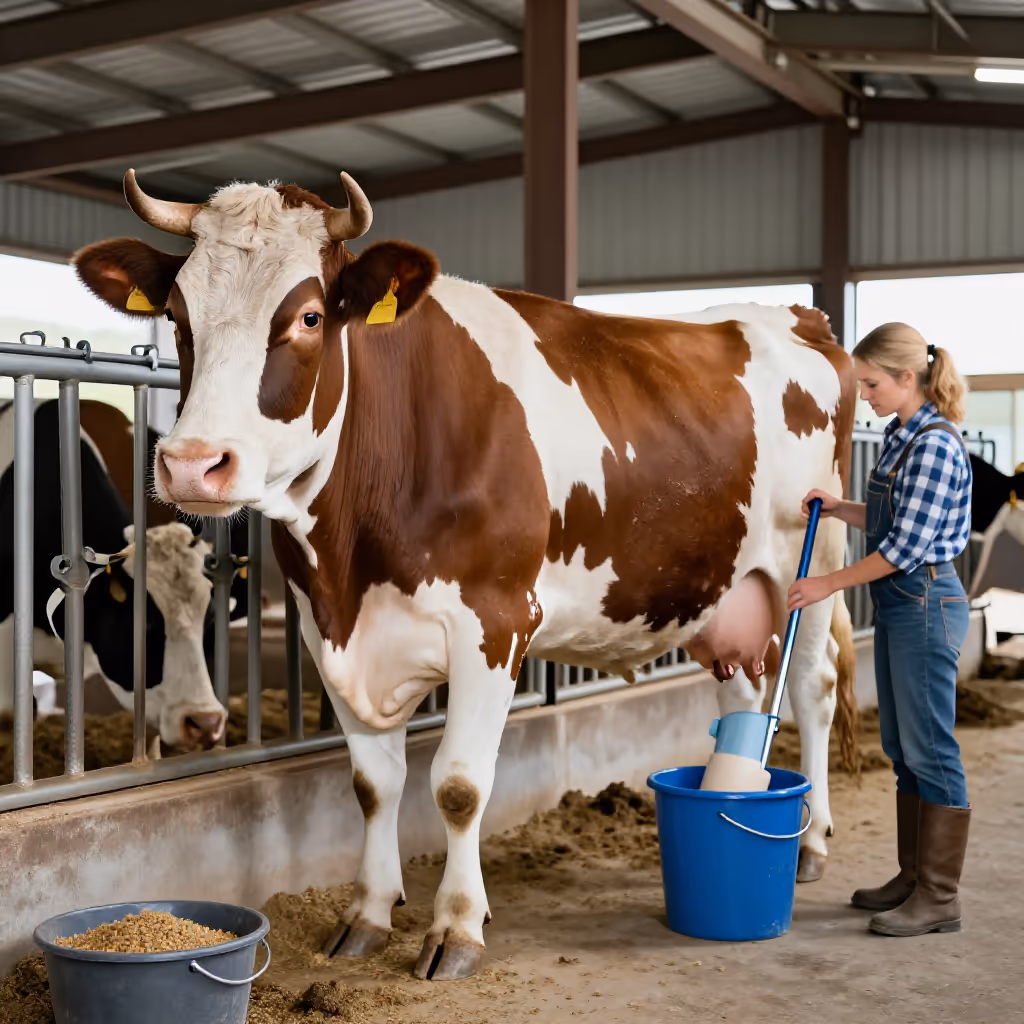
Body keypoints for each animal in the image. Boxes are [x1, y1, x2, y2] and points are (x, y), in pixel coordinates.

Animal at [73, 171, 856, 981]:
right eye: (176, 315)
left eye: (311, 316)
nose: (192, 464)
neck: (353, 563)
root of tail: (794, 314)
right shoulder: (325, 626)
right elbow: (373, 784)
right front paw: (367, 914)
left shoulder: (496, 623)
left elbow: (457, 785)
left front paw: (455, 927)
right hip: (721, 589)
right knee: (745, 691)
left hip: (814, 558)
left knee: (813, 686)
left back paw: (811, 842)